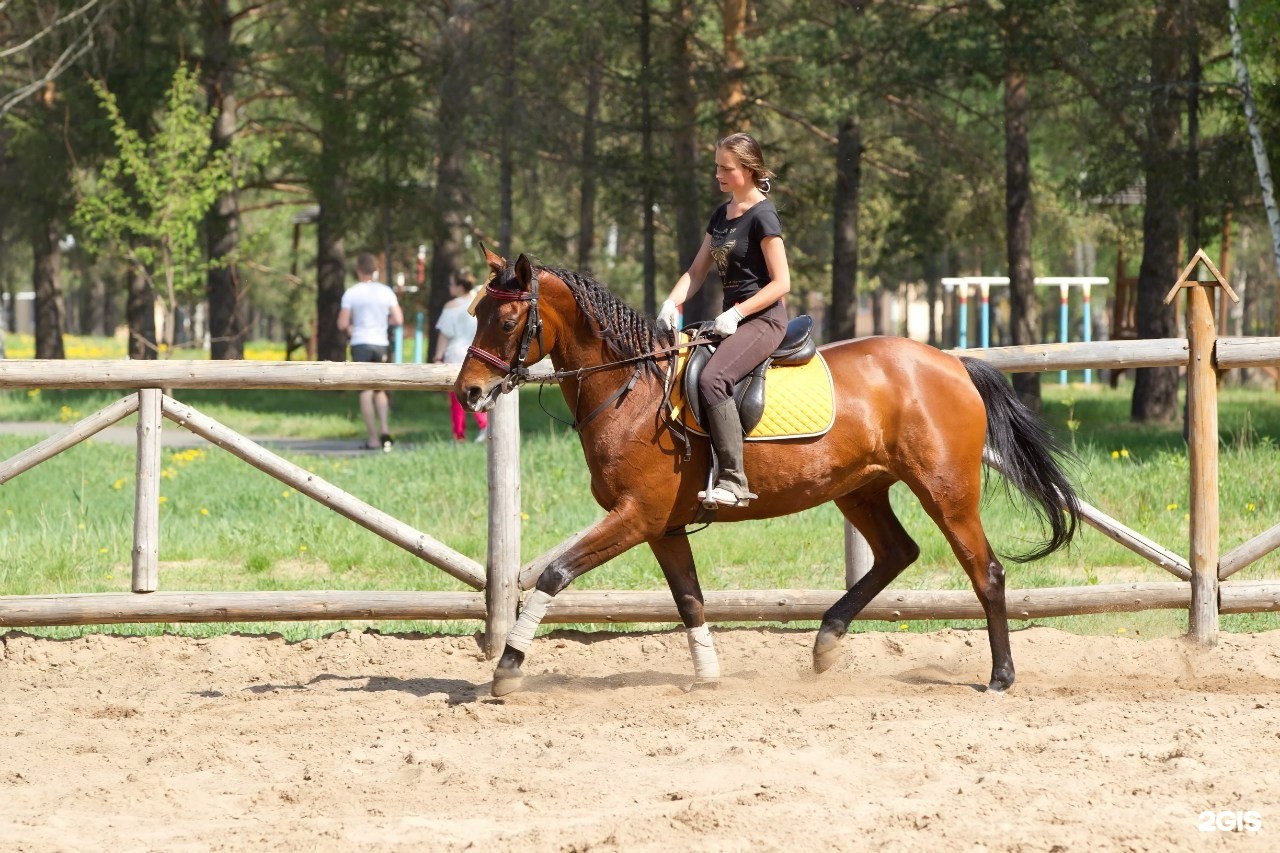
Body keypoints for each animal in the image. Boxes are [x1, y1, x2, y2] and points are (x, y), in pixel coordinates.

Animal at [455, 244, 1075, 691]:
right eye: (475, 312)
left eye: (506, 320)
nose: (469, 393)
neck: (631, 389)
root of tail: (952, 363)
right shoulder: (663, 526)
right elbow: (689, 598)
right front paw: (709, 676)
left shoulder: (636, 516)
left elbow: (556, 573)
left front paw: (508, 666)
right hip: (861, 489)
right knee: (898, 553)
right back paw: (827, 641)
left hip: (945, 491)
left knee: (985, 572)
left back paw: (1000, 676)